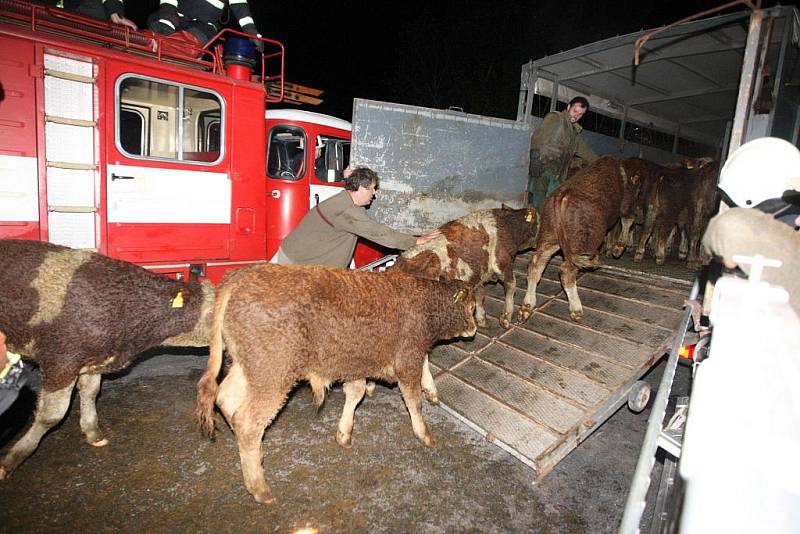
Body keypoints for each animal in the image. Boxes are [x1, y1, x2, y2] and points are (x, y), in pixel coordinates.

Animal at [0, 241, 216, 480]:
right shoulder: (60, 360)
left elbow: (91, 393)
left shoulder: (94, 360)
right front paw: (13, 459)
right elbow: (51, 415)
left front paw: (93, 432)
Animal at [195, 264, 476, 506]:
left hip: (249, 368)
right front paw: (424, 433)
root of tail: (239, 278)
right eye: (472, 307)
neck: (425, 302)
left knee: (226, 399)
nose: (474, 329)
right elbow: (413, 399)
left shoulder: (357, 363)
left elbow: (356, 393)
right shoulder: (408, 358)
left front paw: (344, 432)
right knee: (248, 421)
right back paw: (259, 488)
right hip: (272, 374)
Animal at [392, 207, 536, 328]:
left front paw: (482, 320)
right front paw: (505, 318)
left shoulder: (479, 273)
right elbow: (511, 287)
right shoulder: (502, 263)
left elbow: (481, 295)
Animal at [520, 157, 644, 324]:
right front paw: (618, 248)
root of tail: (563, 196)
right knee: (566, 271)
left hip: (550, 236)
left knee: (537, 262)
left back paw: (527, 306)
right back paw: (576, 309)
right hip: (583, 242)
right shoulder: (626, 204)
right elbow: (627, 219)